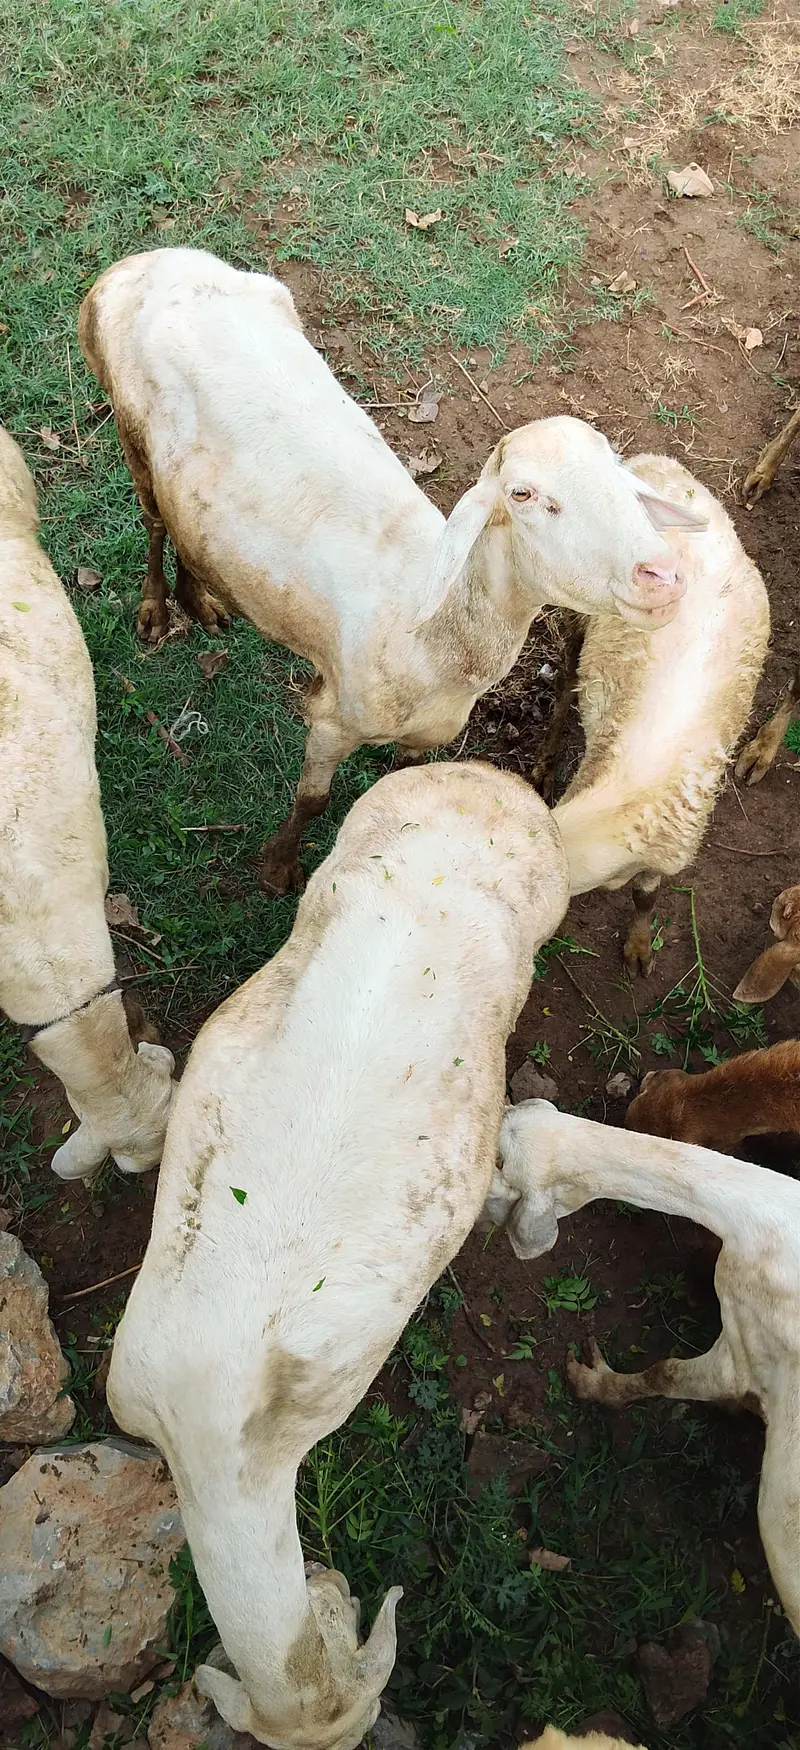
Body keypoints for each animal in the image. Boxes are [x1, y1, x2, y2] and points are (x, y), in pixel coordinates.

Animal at [78, 246, 706, 895]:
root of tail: (139, 262)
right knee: (154, 520)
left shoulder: (427, 736)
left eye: (618, 472)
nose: (662, 574)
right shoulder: (332, 718)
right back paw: (158, 609)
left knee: (184, 525)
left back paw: (198, 599)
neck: (432, 638)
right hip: (129, 426)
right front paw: (278, 870)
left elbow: (397, 783)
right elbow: (313, 801)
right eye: (523, 494)